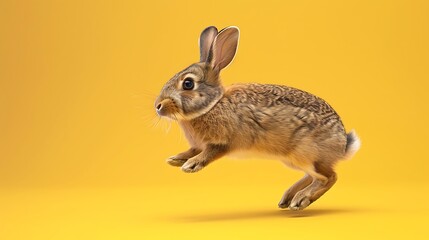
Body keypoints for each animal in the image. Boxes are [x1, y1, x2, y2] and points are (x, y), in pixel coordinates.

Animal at [152, 25, 360, 210]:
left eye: (188, 84)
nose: (158, 106)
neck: (213, 104)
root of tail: (342, 143)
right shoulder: (198, 144)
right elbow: (192, 150)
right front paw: (176, 159)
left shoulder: (223, 142)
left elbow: (209, 153)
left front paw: (191, 165)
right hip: (294, 160)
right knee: (314, 176)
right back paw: (288, 197)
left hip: (304, 154)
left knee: (329, 177)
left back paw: (300, 200)